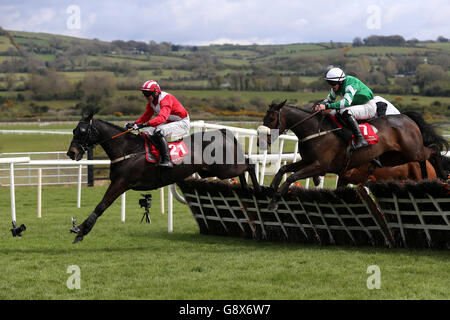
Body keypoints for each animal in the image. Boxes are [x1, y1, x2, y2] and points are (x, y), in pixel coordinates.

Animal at [262, 100, 448, 210]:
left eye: (271, 119)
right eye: (264, 119)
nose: (262, 141)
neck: (316, 131)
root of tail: (406, 118)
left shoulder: (320, 166)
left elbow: (292, 177)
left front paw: (274, 201)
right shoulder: (308, 161)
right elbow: (284, 169)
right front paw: (271, 187)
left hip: (412, 150)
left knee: (433, 150)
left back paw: (443, 175)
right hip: (397, 157)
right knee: (425, 157)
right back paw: (426, 177)